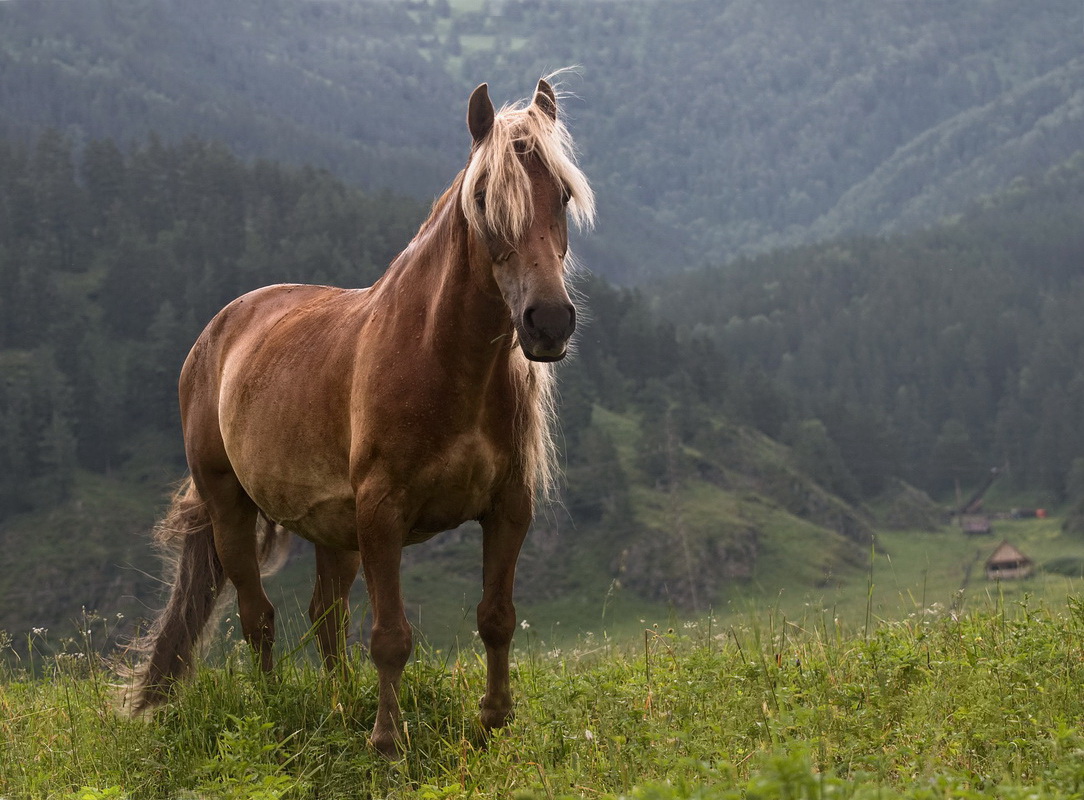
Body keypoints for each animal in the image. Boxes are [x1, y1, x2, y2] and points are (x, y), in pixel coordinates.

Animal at [127, 76, 602, 754]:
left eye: (561, 194)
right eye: (486, 196)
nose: (550, 321)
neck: (441, 361)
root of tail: (218, 332)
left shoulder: (509, 507)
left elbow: (496, 617)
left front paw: (493, 722)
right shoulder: (383, 513)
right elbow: (390, 637)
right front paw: (388, 741)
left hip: (335, 531)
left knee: (325, 617)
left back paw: (337, 703)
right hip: (230, 506)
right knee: (258, 615)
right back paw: (274, 707)